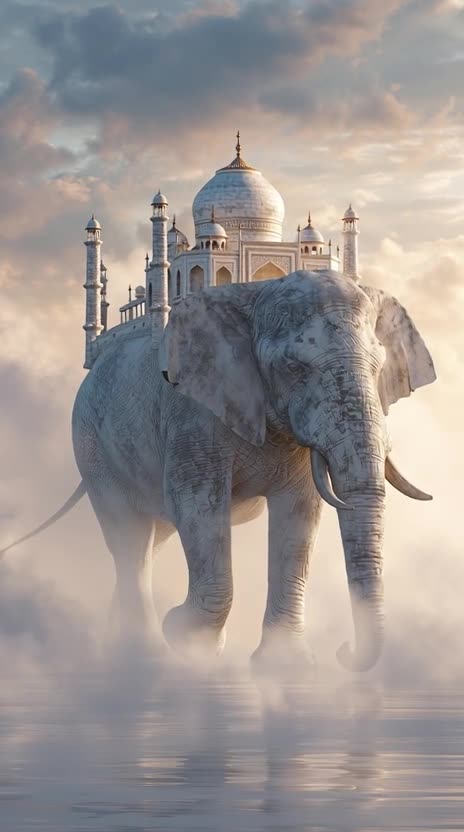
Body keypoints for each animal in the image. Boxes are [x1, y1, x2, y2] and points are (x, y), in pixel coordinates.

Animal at [1, 270, 436, 671]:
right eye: (293, 368)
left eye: (379, 368)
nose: (344, 652)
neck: (252, 295)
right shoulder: (192, 411)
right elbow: (199, 503)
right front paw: (185, 636)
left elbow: (300, 514)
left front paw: (283, 666)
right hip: (91, 446)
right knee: (129, 539)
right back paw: (141, 655)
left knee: (152, 539)